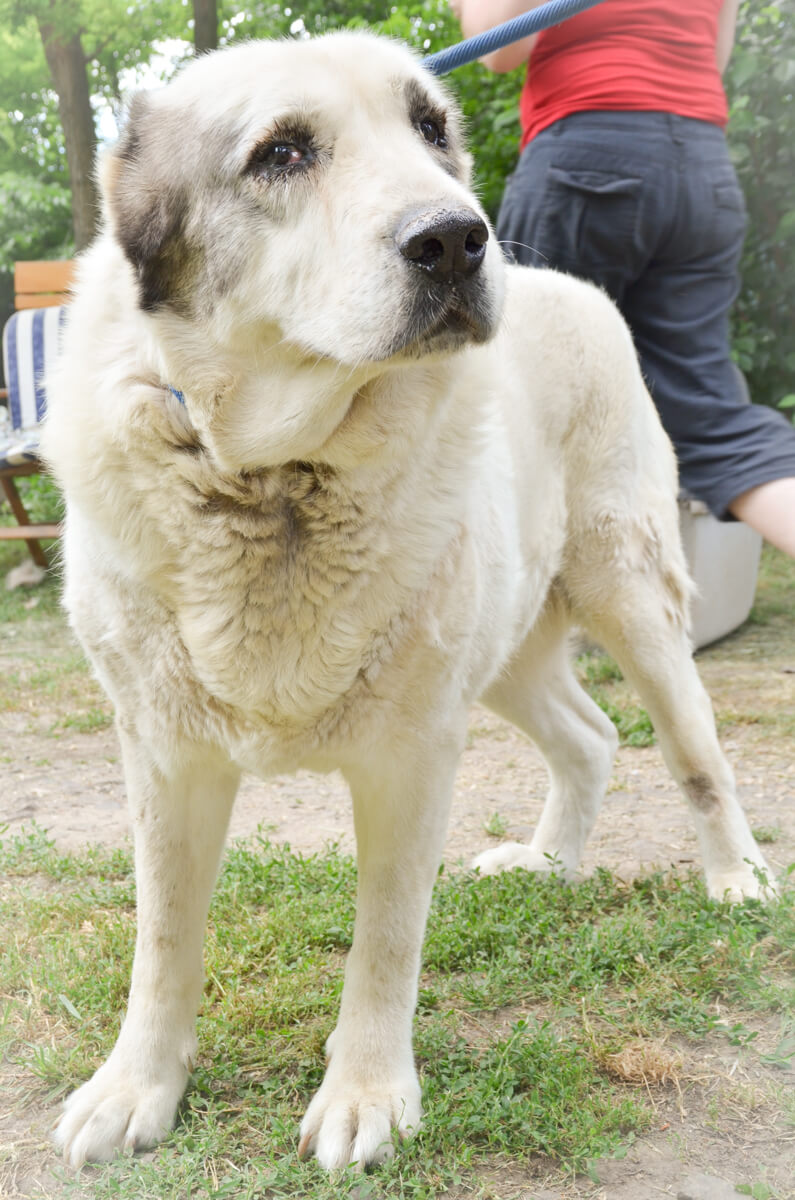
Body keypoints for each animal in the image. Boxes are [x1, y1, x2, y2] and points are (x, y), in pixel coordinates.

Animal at [42, 30, 773, 1172]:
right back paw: (547, 861)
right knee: (591, 735)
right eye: (282, 152)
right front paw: (135, 1088)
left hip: (630, 602)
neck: (275, 478)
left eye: (430, 128)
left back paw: (734, 874)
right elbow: (161, 939)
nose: (459, 240)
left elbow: (385, 939)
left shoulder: (410, 755)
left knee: (694, 756)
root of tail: (568, 282)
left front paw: (367, 1095)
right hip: (503, 649)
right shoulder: (163, 754)